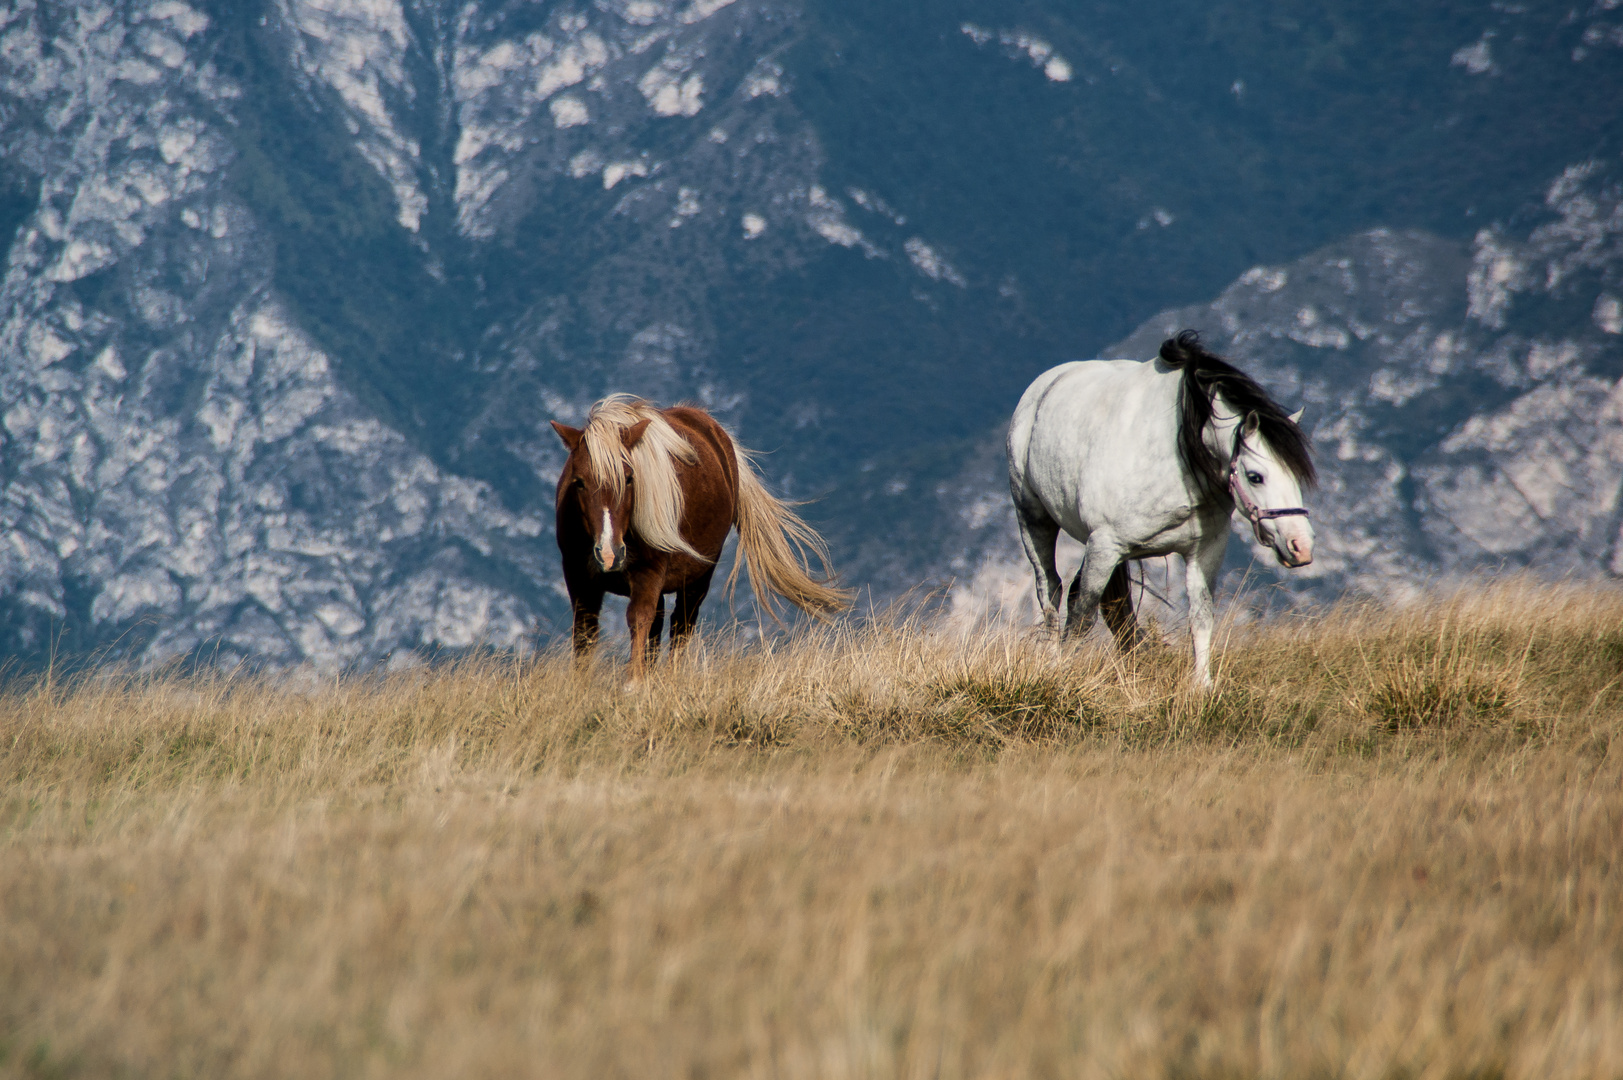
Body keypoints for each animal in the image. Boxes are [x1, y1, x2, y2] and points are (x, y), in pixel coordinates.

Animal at [551, 391, 850, 669]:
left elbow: (638, 620)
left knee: (680, 627)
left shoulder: (648, 575)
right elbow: (585, 635)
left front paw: (633, 684)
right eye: (579, 482)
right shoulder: (578, 578)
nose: (609, 554)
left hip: (697, 580)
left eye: (629, 478)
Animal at [1006, 328, 1311, 682]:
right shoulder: (1104, 546)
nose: (1301, 546)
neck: (1179, 455)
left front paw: (1202, 685)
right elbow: (1083, 615)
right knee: (1051, 592)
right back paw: (1053, 660)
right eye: (1255, 476)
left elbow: (1200, 617)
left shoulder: (1204, 551)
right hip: (1033, 519)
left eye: (1297, 474)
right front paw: (1065, 675)